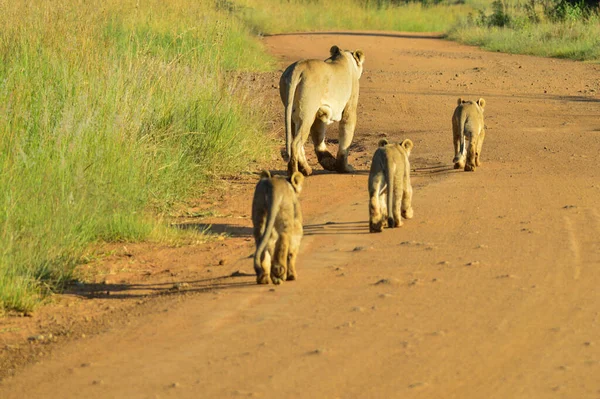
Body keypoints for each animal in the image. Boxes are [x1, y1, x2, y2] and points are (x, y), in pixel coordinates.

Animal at [280, 45, 366, 175]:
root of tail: (298, 67)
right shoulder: (349, 109)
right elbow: (346, 138)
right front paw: (344, 168)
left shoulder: (319, 114)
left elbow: (318, 138)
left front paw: (329, 163)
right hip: (307, 113)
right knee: (295, 143)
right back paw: (295, 172)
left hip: (292, 113)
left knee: (295, 141)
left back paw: (306, 169)